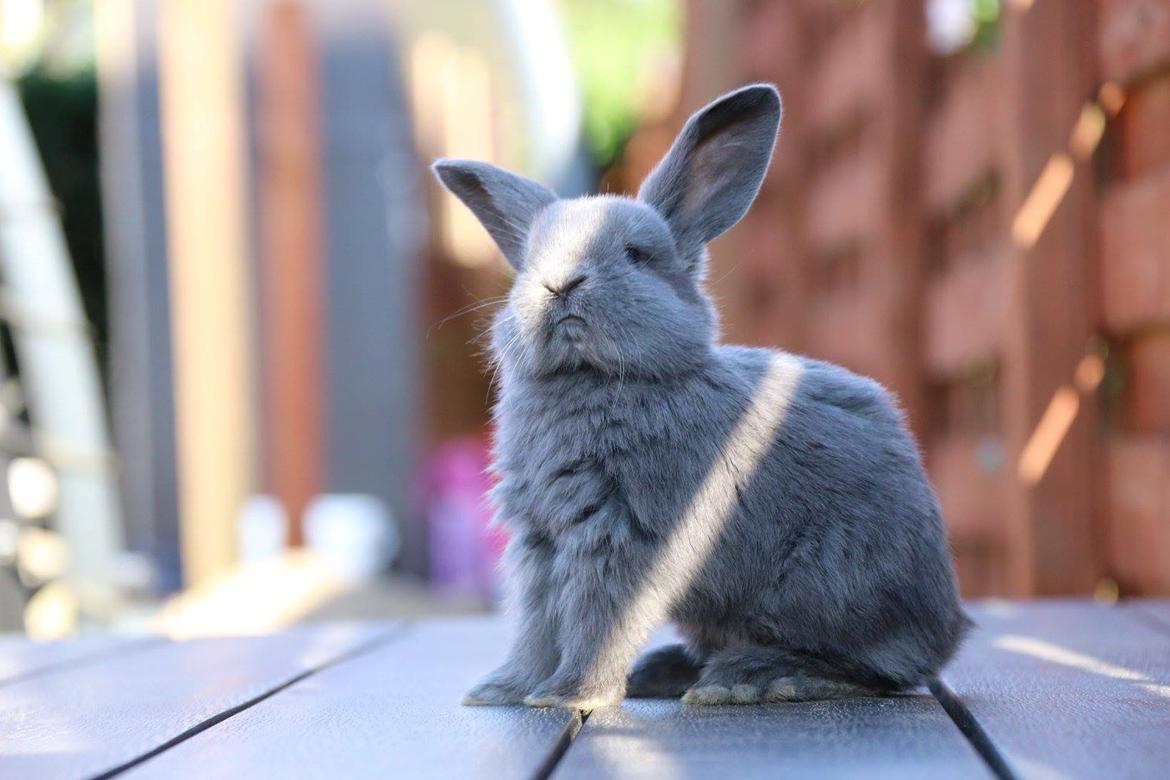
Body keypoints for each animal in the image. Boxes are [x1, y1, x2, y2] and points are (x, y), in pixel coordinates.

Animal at [435, 84, 964, 706]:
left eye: (636, 255)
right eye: (528, 264)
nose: (559, 284)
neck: (593, 379)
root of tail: (944, 628)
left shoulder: (620, 535)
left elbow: (594, 618)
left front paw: (567, 694)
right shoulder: (540, 540)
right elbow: (538, 625)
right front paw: (503, 690)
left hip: (829, 587)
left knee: (877, 670)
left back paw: (752, 679)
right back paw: (665, 672)